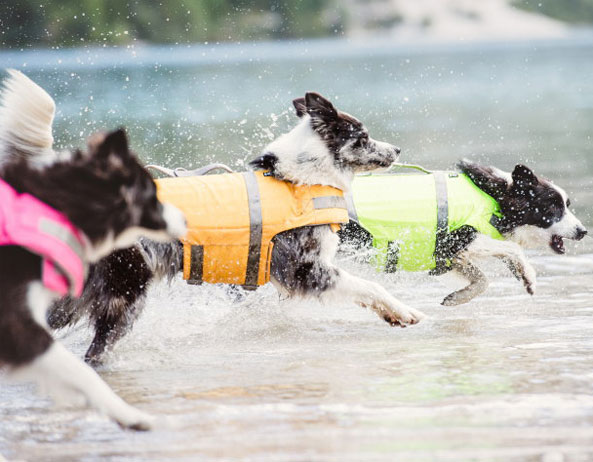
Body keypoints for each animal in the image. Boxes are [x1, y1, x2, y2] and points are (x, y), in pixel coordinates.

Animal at [48, 91, 424, 364]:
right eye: (363, 137)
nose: (397, 149)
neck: (300, 177)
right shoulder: (303, 268)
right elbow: (370, 286)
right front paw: (404, 312)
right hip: (124, 293)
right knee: (96, 348)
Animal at [340, 160, 584, 306]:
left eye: (567, 205)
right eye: (553, 207)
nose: (583, 231)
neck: (496, 200)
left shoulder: (443, 258)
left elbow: (482, 279)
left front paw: (459, 297)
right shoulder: (459, 237)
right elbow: (511, 248)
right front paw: (529, 276)